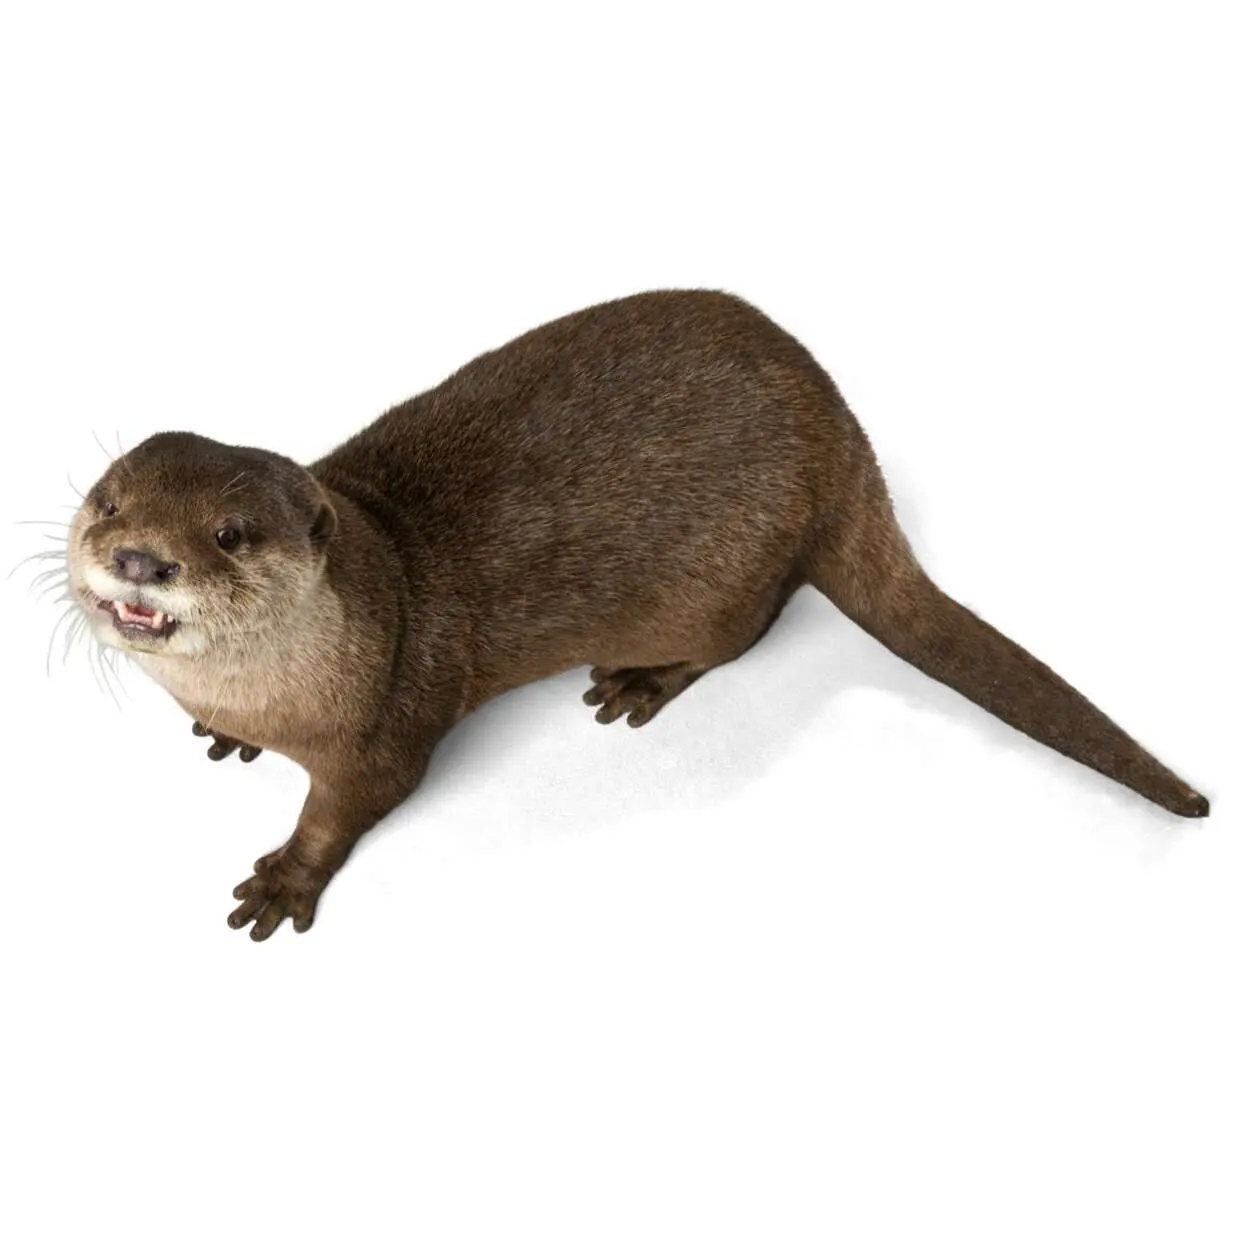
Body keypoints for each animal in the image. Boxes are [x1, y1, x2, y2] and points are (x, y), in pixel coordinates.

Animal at [64, 290, 1209, 940]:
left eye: (229, 534)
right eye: (108, 499)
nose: (139, 558)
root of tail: (843, 437)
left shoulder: (387, 723)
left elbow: (351, 807)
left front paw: (285, 880)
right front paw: (223, 738)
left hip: (718, 582)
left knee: (748, 628)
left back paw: (638, 680)